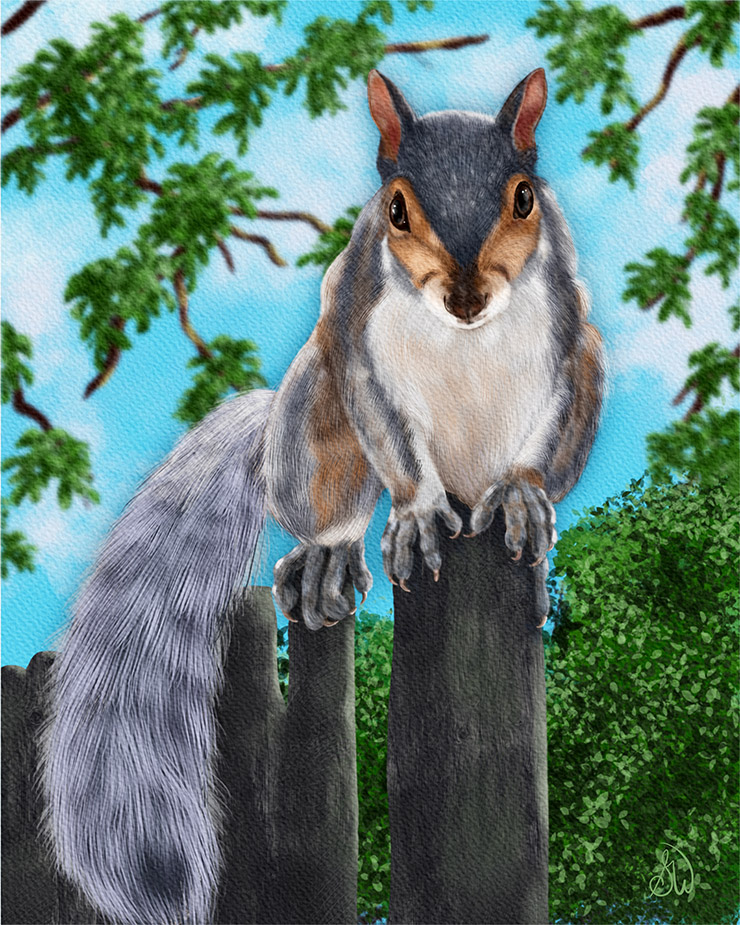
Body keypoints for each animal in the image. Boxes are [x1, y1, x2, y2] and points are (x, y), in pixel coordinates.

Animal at [42, 68, 603, 924]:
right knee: (333, 506)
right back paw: (329, 558)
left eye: (524, 198)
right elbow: (394, 443)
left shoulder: (572, 337)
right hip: (314, 415)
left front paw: (522, 495)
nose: (467, 296)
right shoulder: (355, 336)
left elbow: (545, 436)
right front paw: (414, 517)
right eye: (396, 209)